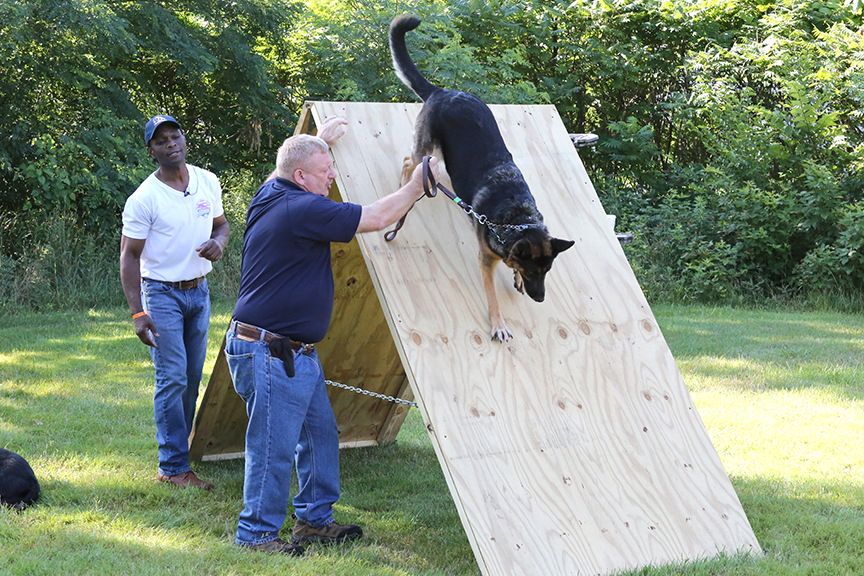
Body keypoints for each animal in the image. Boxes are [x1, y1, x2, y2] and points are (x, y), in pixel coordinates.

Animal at [392, 15, 572, 342]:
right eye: (533, 272)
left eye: (546, 272)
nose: (539, 298)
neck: (516, 218)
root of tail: (442, 91)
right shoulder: (486, 262)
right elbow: (492, 297)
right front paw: (499, 324)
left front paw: (513, 277)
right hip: (427, 148)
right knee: (409, 161)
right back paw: (405, 185)